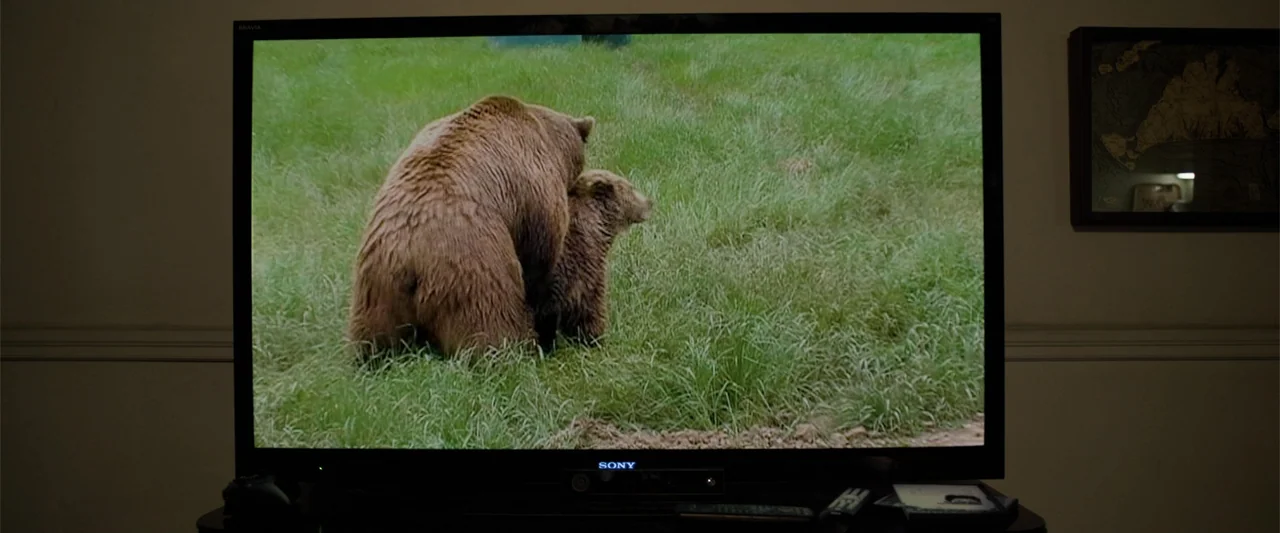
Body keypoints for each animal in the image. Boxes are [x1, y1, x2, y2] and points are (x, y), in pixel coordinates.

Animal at [347, 95, 595, 362]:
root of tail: (408, 257)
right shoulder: (535, 191)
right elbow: (540, 257)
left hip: (376, 291)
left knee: (376, 340)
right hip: (471, 269)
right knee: (493, 321)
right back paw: (510, 351)